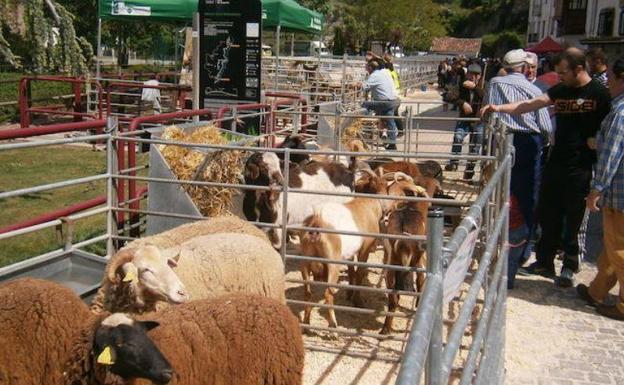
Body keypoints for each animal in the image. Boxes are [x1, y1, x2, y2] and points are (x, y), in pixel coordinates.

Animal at [296, 168, 424, 328]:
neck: (372, 203)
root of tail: (316, 223)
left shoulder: (350, 253)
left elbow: (352, 270)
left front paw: (350, 294)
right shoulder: (365, 248)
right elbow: (360, 272)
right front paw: (358, 301)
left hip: (305, 261)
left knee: (307, 292)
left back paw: (306, 324)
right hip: (332, 263)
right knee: (328, 293)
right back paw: (333, 325)